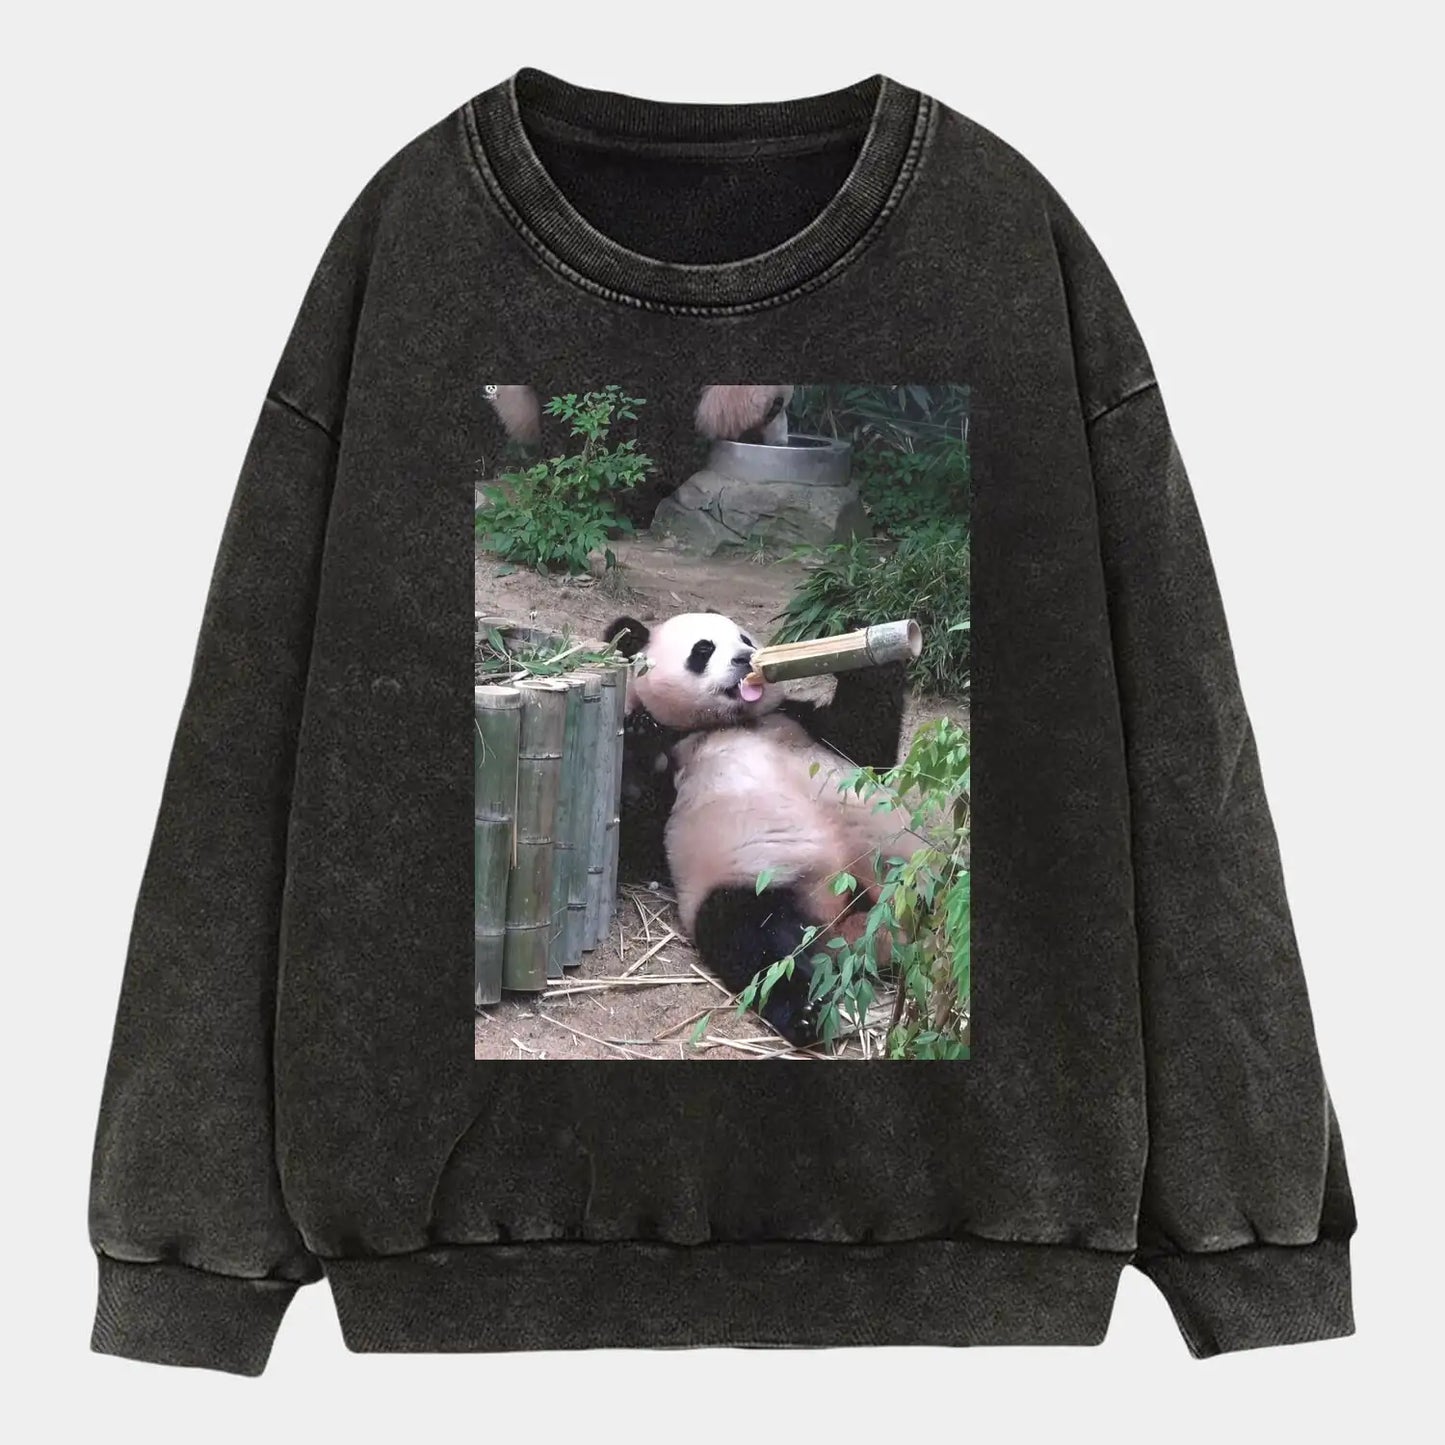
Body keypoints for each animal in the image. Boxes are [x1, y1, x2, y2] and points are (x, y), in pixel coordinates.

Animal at [602, 610, 914, 1043]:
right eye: (703, 650)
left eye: (746, 639)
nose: (745, 659)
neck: (724, 724)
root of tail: (857, 929)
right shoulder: (675, 764)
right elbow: (640, 833)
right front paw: (640, 739)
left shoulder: (798, 722)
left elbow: (863, 741)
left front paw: (861, 639)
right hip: (755, 878)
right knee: (755, 938)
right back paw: (806, 1012)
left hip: (909, 864)